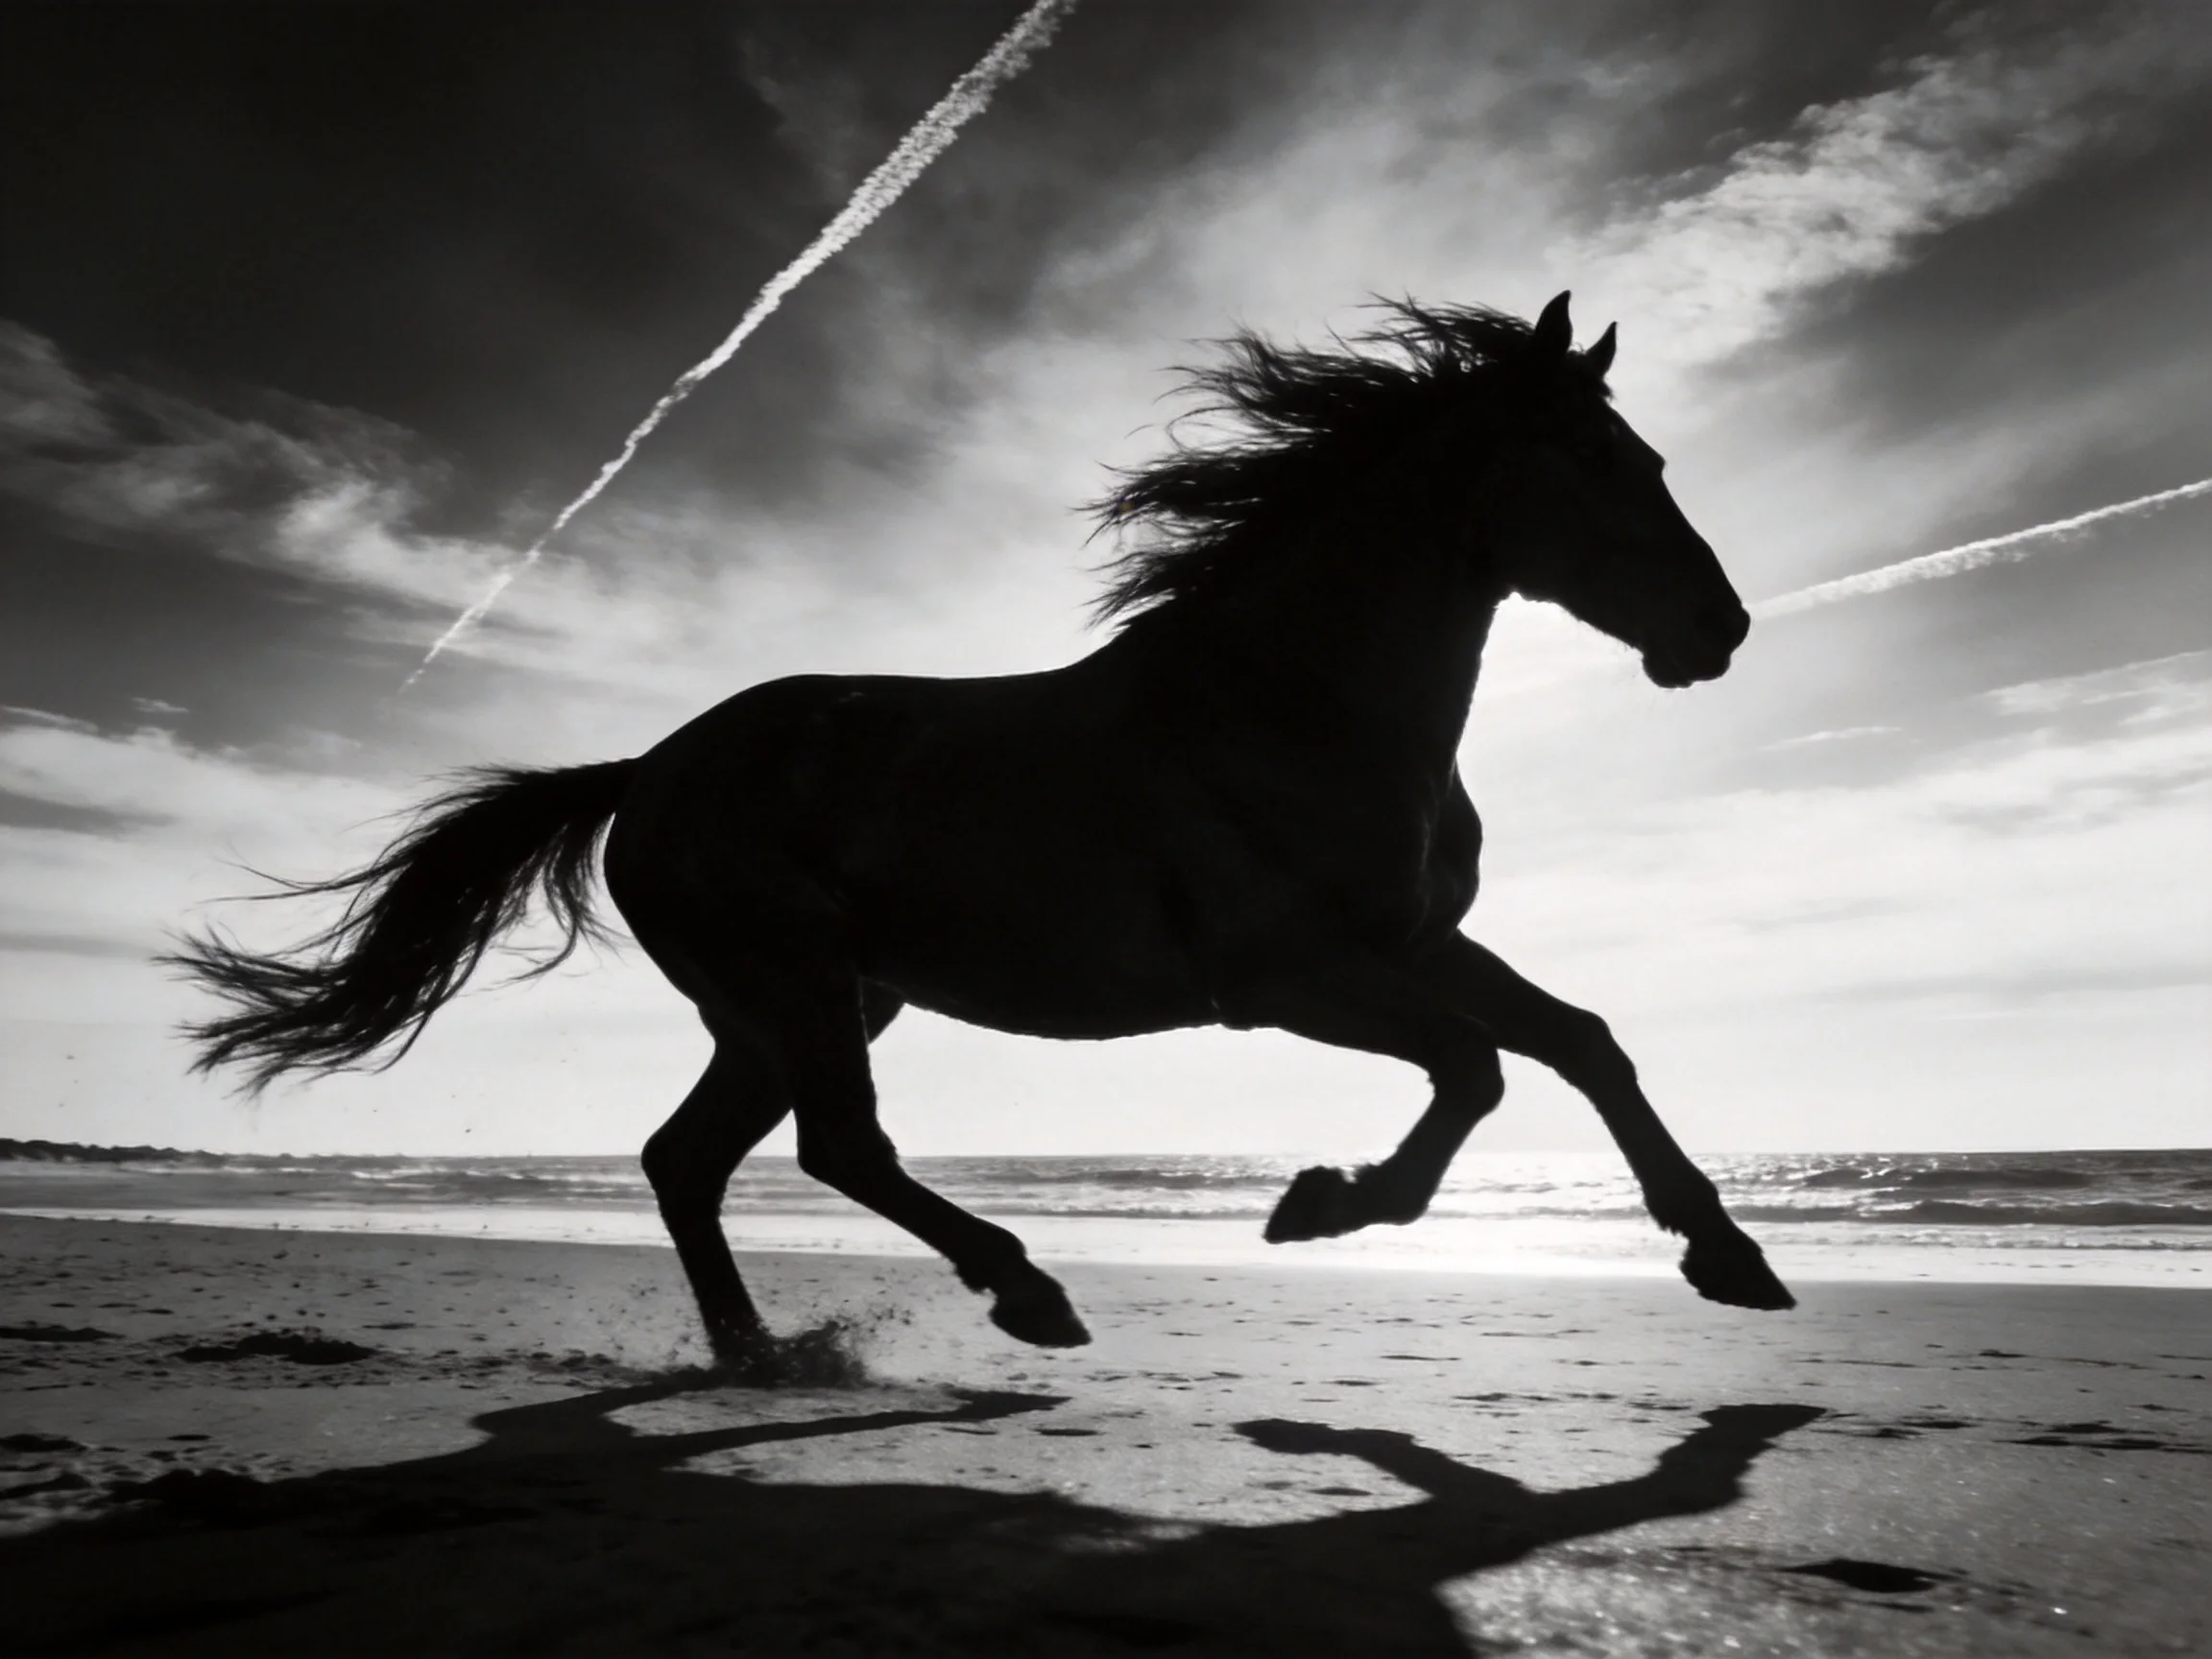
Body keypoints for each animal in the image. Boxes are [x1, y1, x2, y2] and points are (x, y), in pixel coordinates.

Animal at [168, 292, 1794, 1371]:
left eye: (1648, 457)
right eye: (1603, 463)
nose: (1720, 629)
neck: (1295, 702)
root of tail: (646, 772)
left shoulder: (1412, 942)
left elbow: (1581, 1042)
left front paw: (1731, 1257)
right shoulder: (1284, 980)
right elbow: (1475, 1070)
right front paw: (1322, 1209)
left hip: (796, 1006)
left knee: (688, 1159)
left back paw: (763, 1353)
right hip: (801, 987)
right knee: (837, 1145)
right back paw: (1025, 1293)